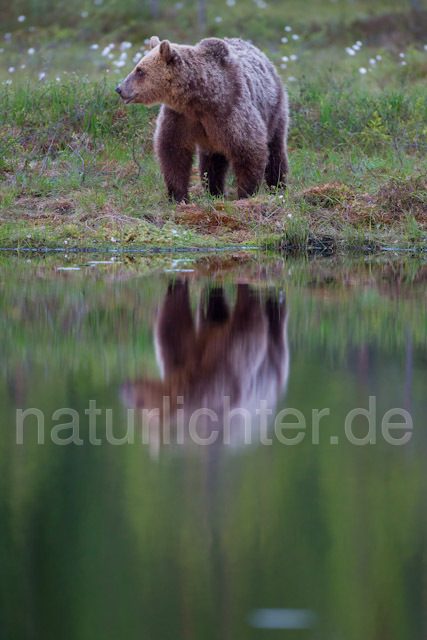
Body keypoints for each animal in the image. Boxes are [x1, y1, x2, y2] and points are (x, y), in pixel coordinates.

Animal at [117, 36, 290, 201]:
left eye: (140, 70)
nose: (119, 88)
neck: (199, 98)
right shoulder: (180, 116)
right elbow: (173, 151)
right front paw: (178, 196)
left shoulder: (230, 109)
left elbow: (248, 148)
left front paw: (246, 193)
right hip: (211, 139)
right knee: (211, 162)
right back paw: (214, 191)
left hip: (274, 109)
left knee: (275, 150)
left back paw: (277, 186)